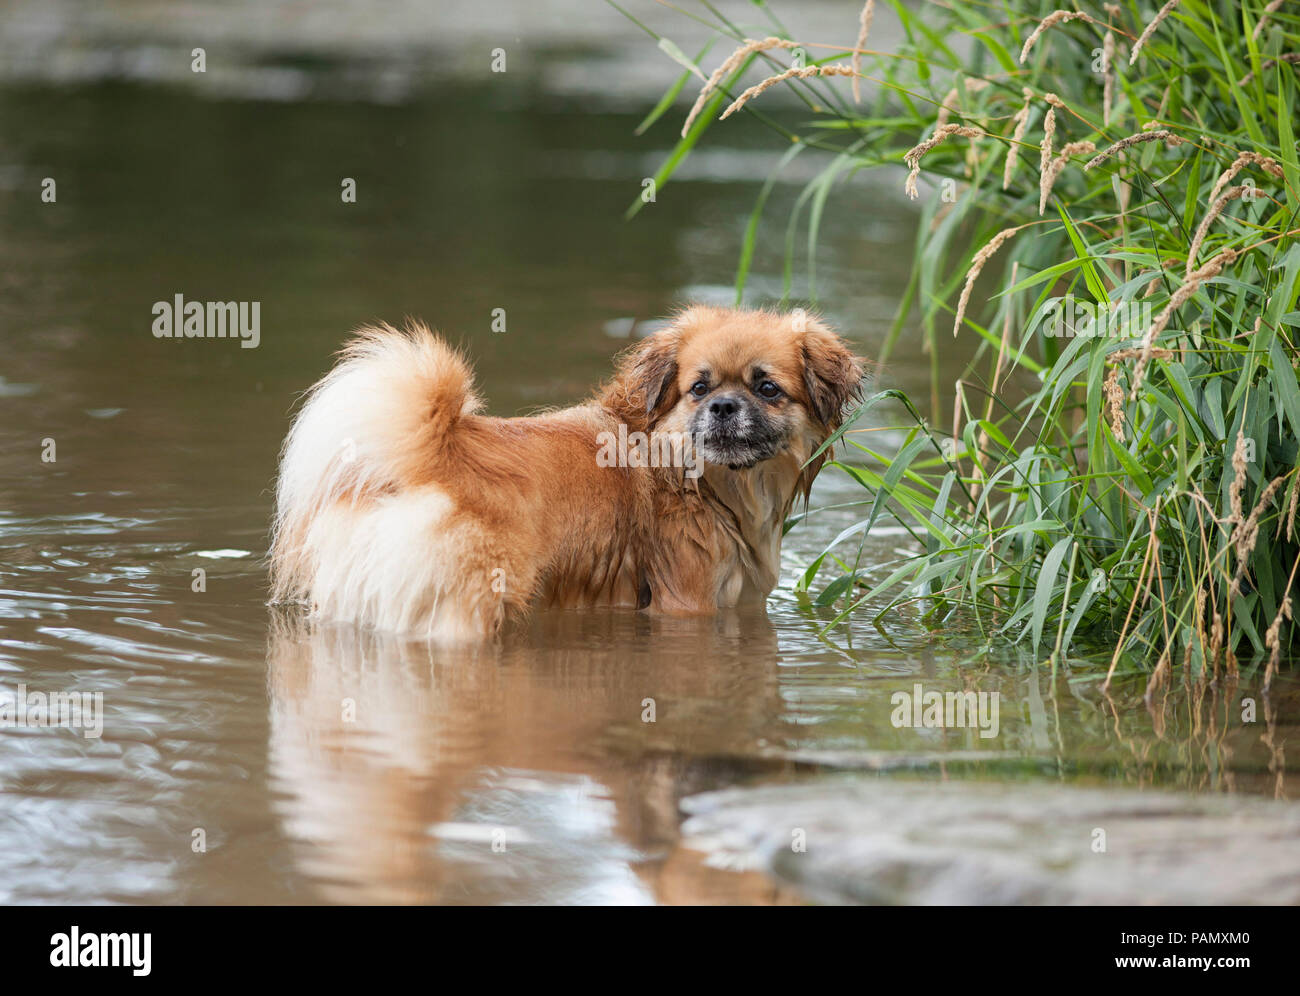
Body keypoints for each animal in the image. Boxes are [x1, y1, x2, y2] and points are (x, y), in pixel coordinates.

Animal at [271, 308, 863, 644]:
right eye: (699, 388)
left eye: (767, 389)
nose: (721, 406)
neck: (699, 481)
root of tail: (436, 453)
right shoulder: (688, 602)